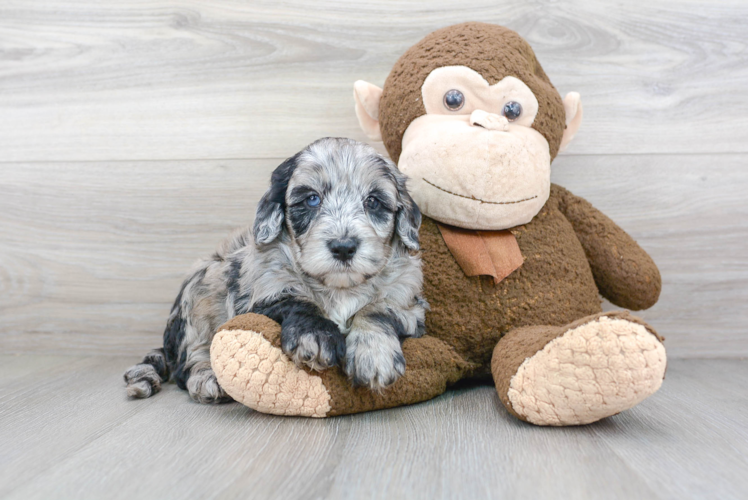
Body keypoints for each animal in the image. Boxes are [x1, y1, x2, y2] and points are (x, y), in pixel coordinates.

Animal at [122, 139, 426, 404]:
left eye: (373, 201)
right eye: (312, 199)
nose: (343, 247)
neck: (339, 287)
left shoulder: (409, 302)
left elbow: (377, 309)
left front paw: (374, 355)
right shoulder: (259, 294)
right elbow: (297, 300)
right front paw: (315, 336)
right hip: (202, 287)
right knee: (189, 358)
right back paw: (207, 378)